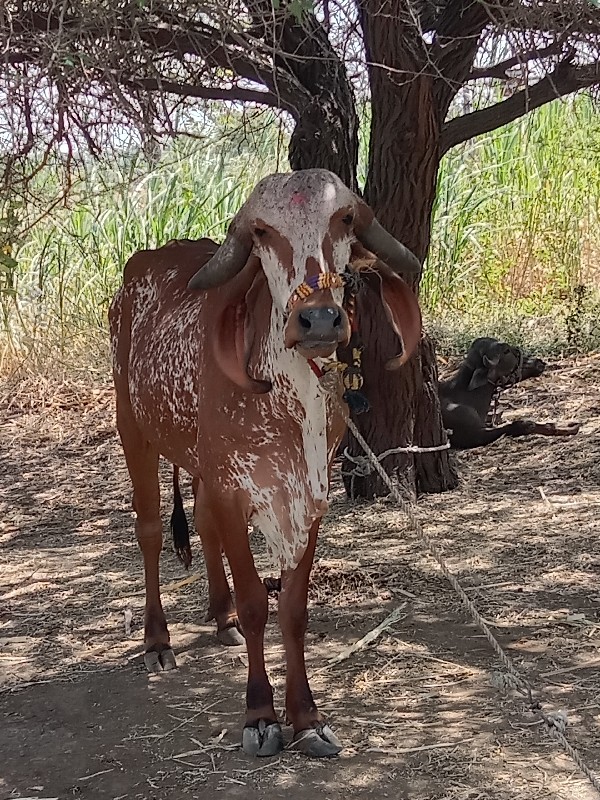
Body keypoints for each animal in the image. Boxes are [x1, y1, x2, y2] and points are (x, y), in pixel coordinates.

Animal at [109, 169, 422, 756]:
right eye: (261, 232)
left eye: (344, 218)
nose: (319, 319)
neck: (289, 401)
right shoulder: (237, 490)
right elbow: (259, 602)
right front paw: (260, 715)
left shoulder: (310, 496)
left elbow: (293, 611)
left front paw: (306, 717)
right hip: (133, 431)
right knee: (150, 531)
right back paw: (158, 640)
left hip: (202, 465)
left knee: (202, 521)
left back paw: (221, 615)